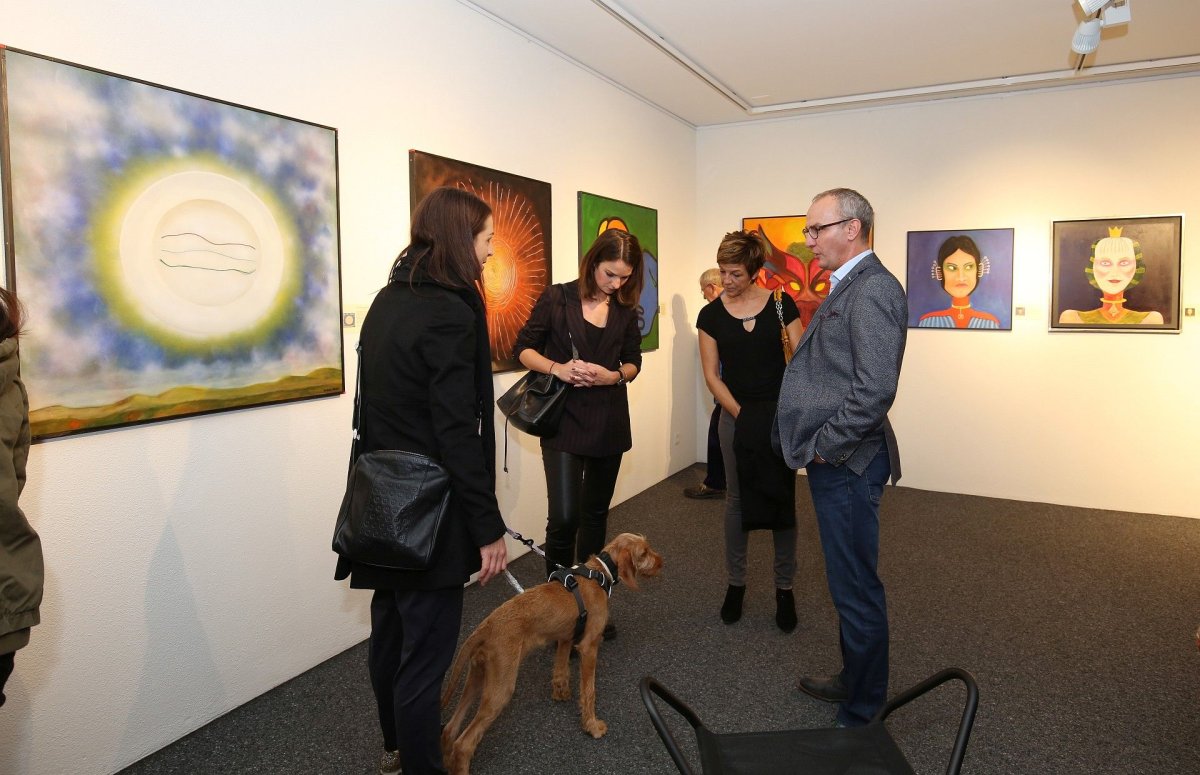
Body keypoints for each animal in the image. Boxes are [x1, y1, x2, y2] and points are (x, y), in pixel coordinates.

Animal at [440, 532, 663, 775]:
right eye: (644, 553)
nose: (660, 563)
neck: (600, 572)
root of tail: (486, 626)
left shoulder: (565, 638)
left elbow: (560, 670)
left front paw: (561, 693)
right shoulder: (589, 647)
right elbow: (589, 691)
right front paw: (592, 726)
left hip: (477, 677)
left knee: (450, 729)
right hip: (501, 688)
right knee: (463, 744)